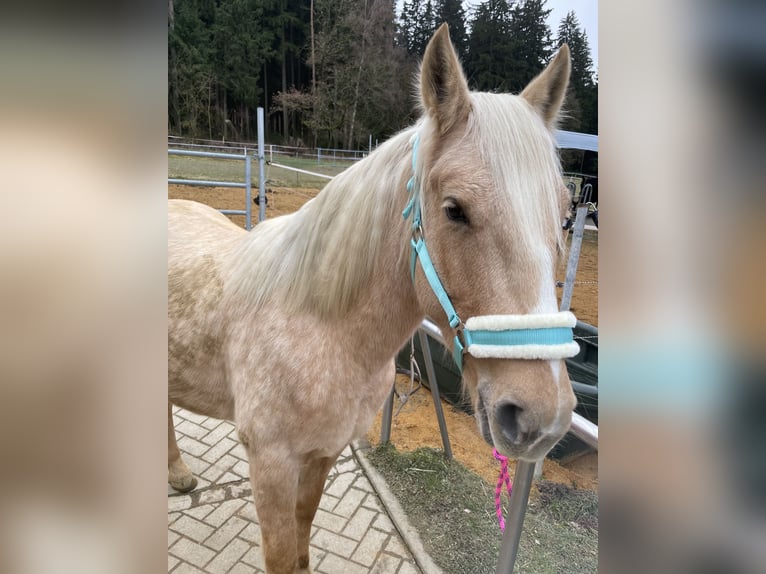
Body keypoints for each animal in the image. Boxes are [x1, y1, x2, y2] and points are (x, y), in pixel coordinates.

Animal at [168, 24, 576, 574]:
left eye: (565, 214)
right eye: (454, 209)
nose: (542, 417)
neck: (320, 327)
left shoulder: (324, 451)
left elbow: (303, 536)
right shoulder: (270, 464)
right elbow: (282, 554)